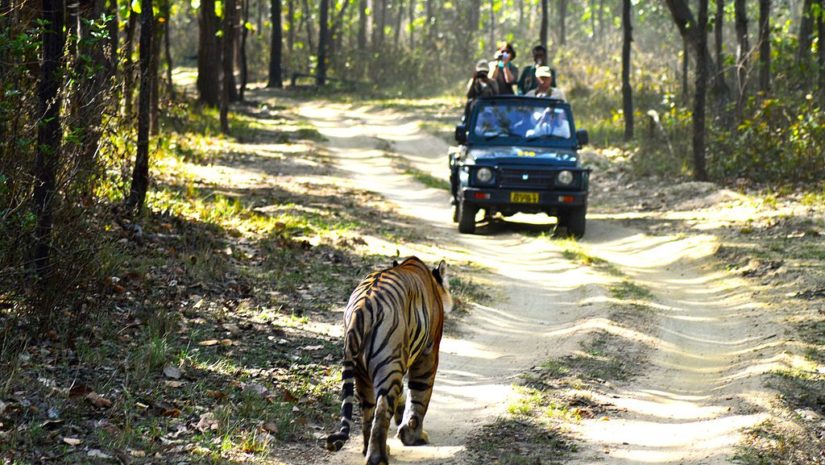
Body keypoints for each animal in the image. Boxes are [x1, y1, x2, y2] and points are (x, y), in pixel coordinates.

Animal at [326, 256, 454, 462]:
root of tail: (361, 308)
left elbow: (403, 391)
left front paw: (401, 416)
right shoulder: (428, 352)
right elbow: (419, 396)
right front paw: (413, 435)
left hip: (364, 371)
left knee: (368, 412)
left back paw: (370, 450)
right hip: (388, 366)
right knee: (381, 412)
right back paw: (378, 457)